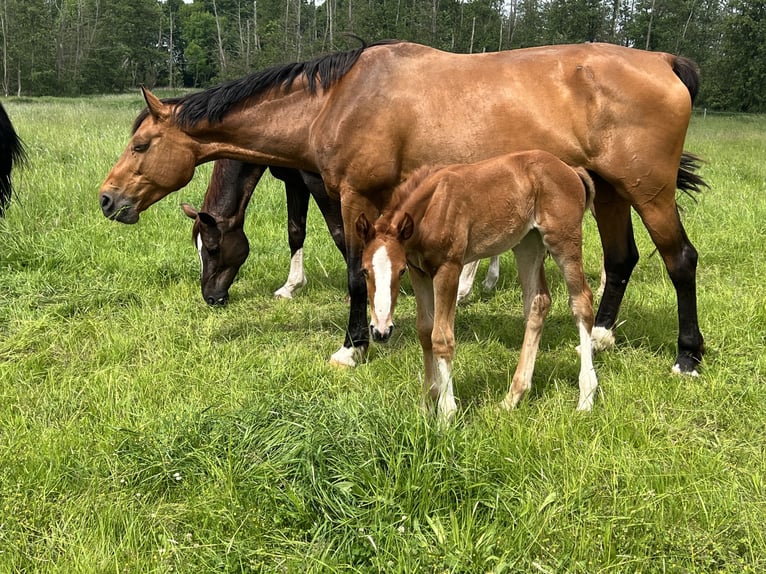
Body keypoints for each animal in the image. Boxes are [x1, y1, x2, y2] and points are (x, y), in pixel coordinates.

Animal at [178, 160, 346, 308]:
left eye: (213, 249)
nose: (211, 298)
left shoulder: (319, 183)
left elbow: (339, 234)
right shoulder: (294, 181)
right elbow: (295, 232)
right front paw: (290, 287)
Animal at [358, 151, 600, 424]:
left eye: (399, 271)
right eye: (364, 270)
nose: (380, 331)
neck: (431, 209)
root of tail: (570, 170)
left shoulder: (448, 268)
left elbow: (441, 337)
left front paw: (446, 414)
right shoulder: (419, 272)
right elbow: (425, 331)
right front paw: (427, 405)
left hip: (563, 240)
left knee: (581, 302)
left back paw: (586, 397)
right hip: (528, 244)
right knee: (537, 303)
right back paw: (512, 398)